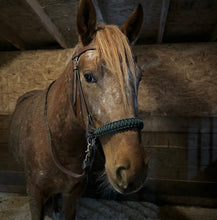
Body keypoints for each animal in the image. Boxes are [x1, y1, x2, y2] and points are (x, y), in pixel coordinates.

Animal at [8, 0, 147, 219]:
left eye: (139, 77)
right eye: (88, 76)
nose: (133, 171)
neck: (61, 144)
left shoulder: (73, 195)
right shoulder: (34, 194)